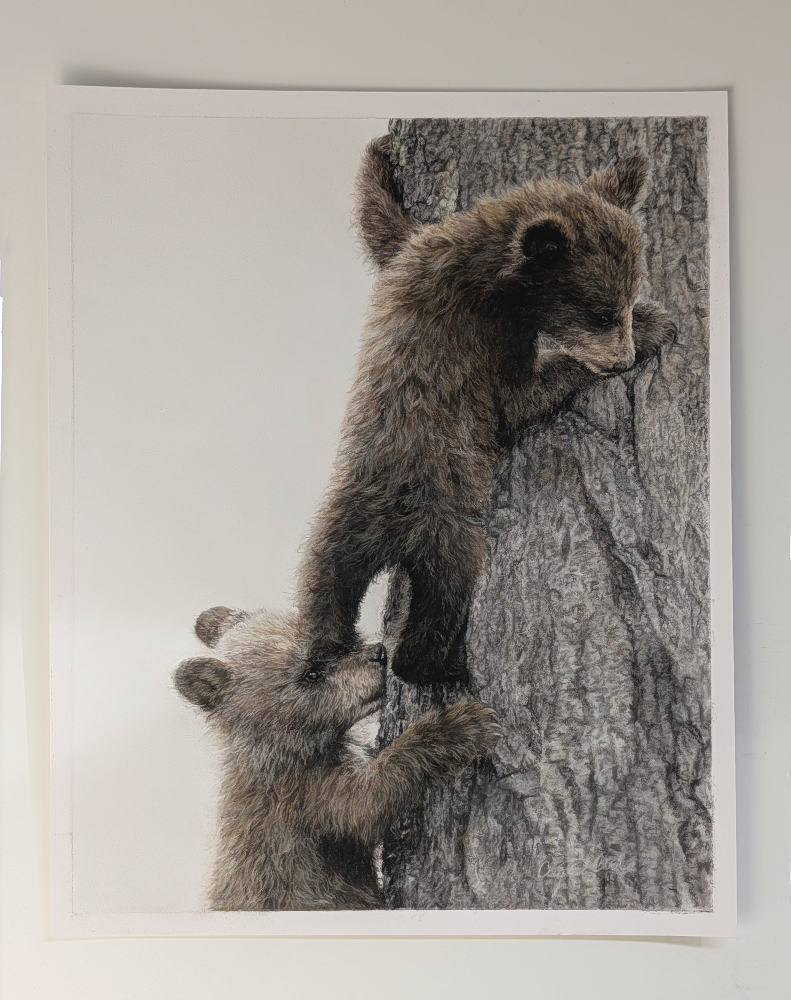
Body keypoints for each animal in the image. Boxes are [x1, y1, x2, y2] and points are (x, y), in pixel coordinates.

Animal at [173, 605, 498, 910]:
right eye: (311, 673)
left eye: (340, 643)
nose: (378, 653)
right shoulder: (304, 793)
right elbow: (366, 803)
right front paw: (462, 724)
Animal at [295, 135, 677, 685]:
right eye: (603, 313)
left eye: (623, 301)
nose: (622, 359)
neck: (489, 271)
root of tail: (386, 532)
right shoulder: (481, 332)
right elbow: (517, 397)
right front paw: (655, 326)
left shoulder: (413, 255)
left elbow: (382, 227)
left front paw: (379, 156)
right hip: (445, 528)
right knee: (446, 594)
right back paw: (441, 665)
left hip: (335, 533)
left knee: (322, 595)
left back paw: (325, 654)